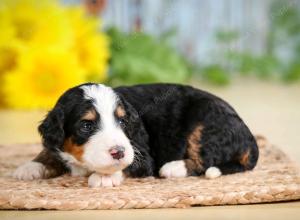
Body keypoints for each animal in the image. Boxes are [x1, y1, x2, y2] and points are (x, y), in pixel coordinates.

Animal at [13, 83, 258, 186]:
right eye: (86, 126)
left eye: (122, 121)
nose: (118, 152)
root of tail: (248, 135)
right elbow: (50, 151)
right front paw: (30, 166)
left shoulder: (142, 154)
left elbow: (130, 165)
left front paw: (105, 177)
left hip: (205, 121)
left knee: (205, 160)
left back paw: (174, 167)